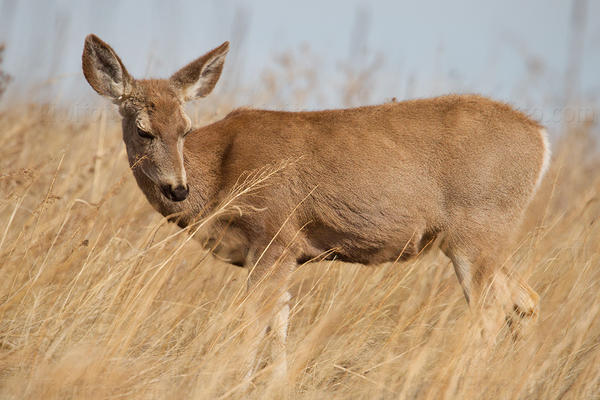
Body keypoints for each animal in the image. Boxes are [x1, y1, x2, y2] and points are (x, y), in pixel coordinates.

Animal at [82, 33, 552, 378]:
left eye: (185, 127)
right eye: (143, 130)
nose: (176, 189)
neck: (217, 174)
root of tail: (542, 139)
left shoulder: (275, 237)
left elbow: (251, 327)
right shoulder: (273, 255)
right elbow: (279, 328)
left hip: (476, 231)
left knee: (490, 314)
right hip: (485, 239)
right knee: (526, 301)